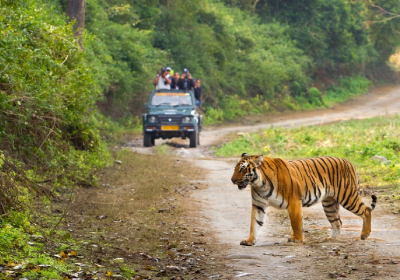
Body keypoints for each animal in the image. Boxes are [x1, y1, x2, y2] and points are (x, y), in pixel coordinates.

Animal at [230, 153, 376, 245]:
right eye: (236, 169)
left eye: (242, 169)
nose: (232, 180)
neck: (259, 184)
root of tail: (349, 162)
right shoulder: (258, 205)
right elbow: (254, 223)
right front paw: (249, 241)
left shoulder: (294, 201)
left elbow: (296, 222)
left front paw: (297, 239)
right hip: (329, 204)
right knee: (338, 222)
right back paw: (330, 239)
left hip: (347, 196)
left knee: (366, 210)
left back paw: (364, 234)